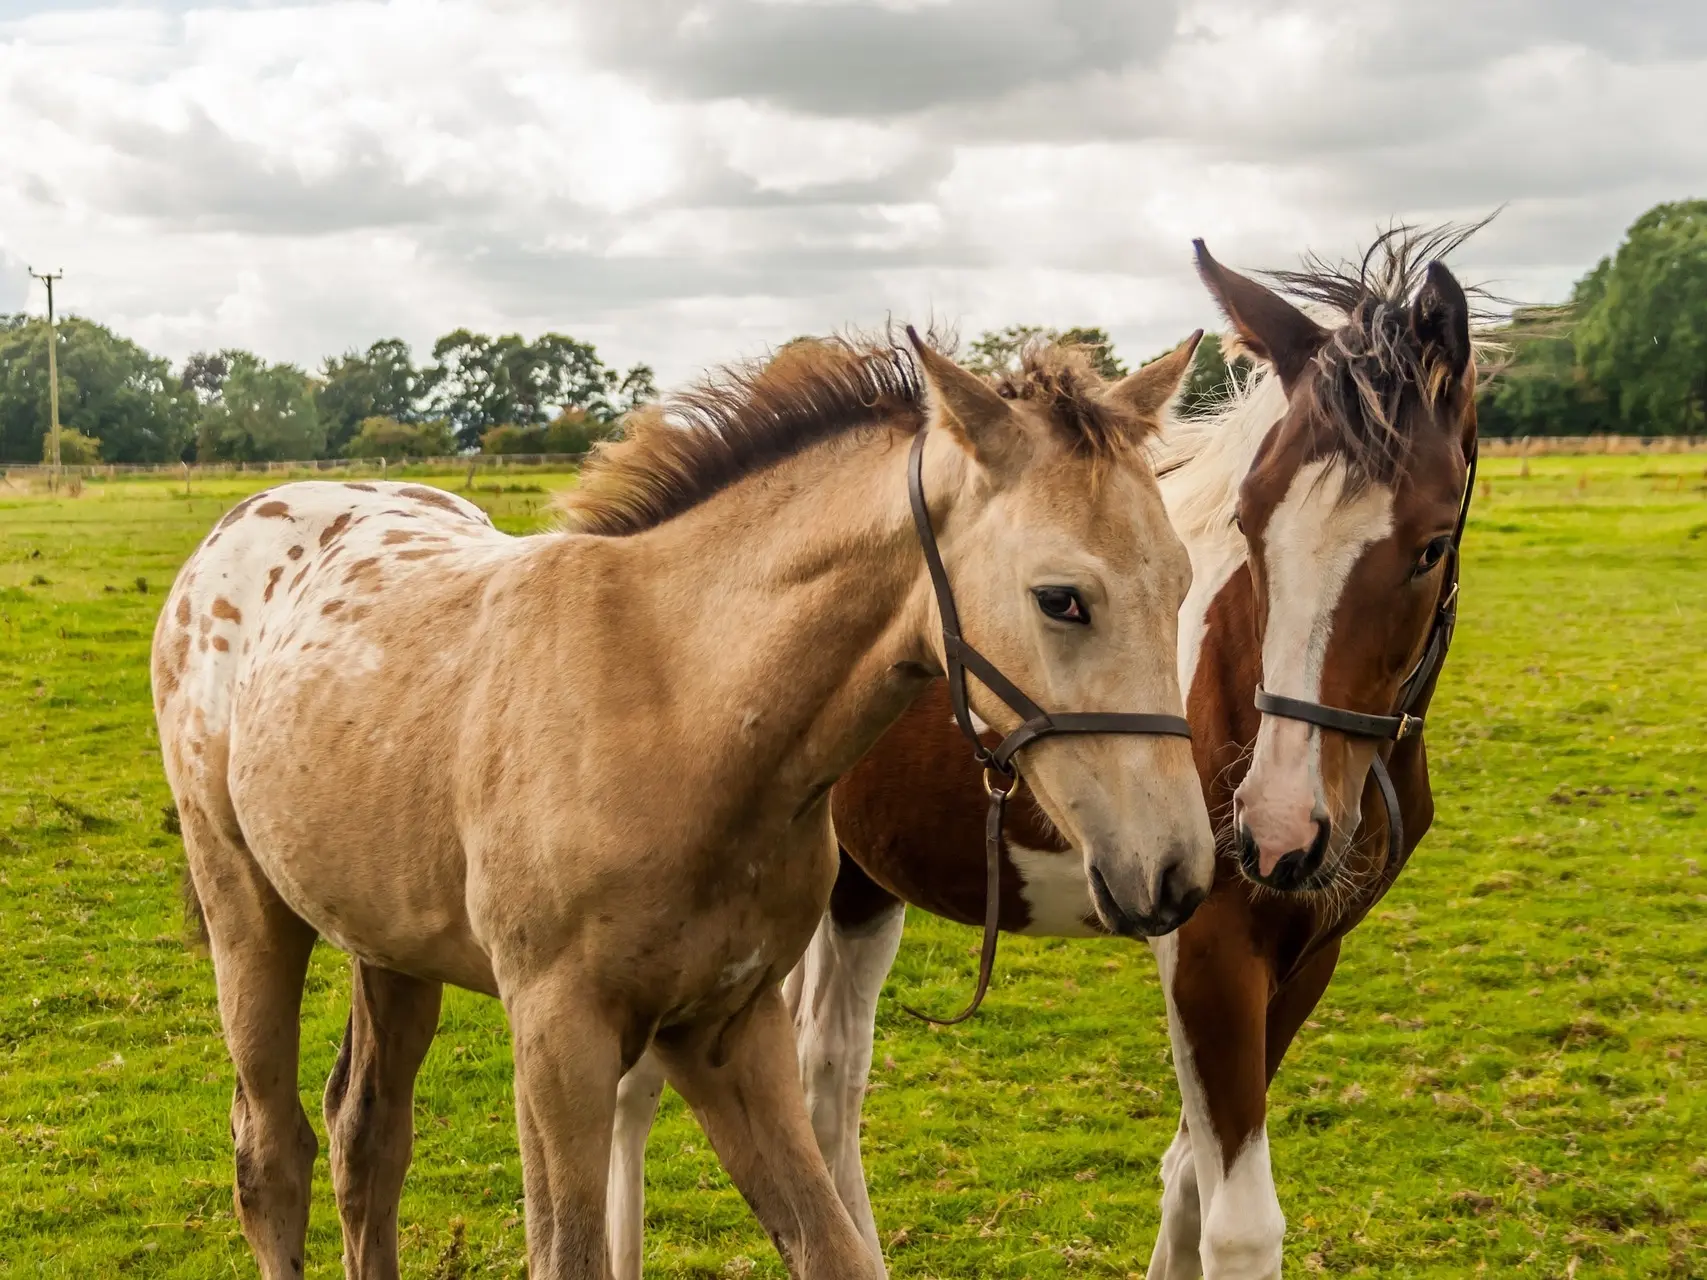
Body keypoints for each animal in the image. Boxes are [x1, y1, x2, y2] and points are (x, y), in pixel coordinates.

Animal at [150, 325, 1215, 1276]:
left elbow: (829, 1250)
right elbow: (568, 1256)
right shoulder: (559, 1038)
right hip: (247, 912)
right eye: (1060, 598)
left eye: (1182, 582)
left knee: (366, 1138)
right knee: (271, 1154)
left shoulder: (727, 1031)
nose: (1175, 872)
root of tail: (240, 525)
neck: (678, 706)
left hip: (388, 944)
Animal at [611, 225, 1481, 1276]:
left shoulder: (1309, 952)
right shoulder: (1210, 950)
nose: (1275, 831)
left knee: (829, 1071)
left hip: (856, 882)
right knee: (643, 1086)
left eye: (1430, 546)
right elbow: (1238, 1221)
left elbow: (1187, 1177)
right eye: (1248, 518)